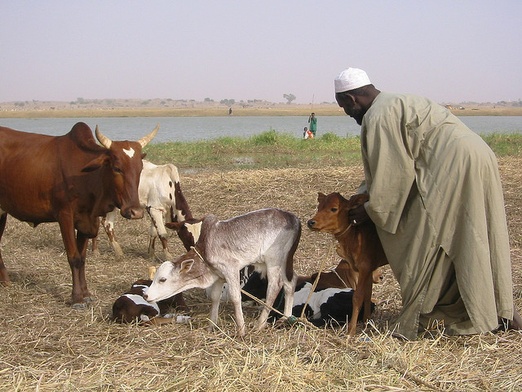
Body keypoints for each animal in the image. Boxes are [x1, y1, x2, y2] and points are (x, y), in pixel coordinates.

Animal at [0, 121, 156, 306]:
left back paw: (5, 281)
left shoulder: (86, 220)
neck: (87, 177)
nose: (135, 212)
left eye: (140, 169)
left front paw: (85, 293)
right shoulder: (65, 216)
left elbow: (82, 258)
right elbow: (74, 257)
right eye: (117, 168)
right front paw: (76, 297)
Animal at [145, 208, 300, 336]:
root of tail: (293, 218)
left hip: (273, 261)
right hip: (285, 262)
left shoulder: (231, 269)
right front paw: (211, 325)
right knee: (290, 282)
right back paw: (286, 318)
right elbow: (215, 297)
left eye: (162, 279)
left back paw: (260, 324)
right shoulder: (219, 275)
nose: (146, 295)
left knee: (274, 287)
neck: (205, 251)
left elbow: (235, 297)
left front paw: (241, 330)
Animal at [304, 191, 386, 336]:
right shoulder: (367, 269)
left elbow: (357, 297)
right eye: (319, 207)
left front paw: (351, 330)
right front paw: (366, 321)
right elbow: (368, 294)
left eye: (334, 209)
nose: (311, 222)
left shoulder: (364, 268)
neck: (356, 237)